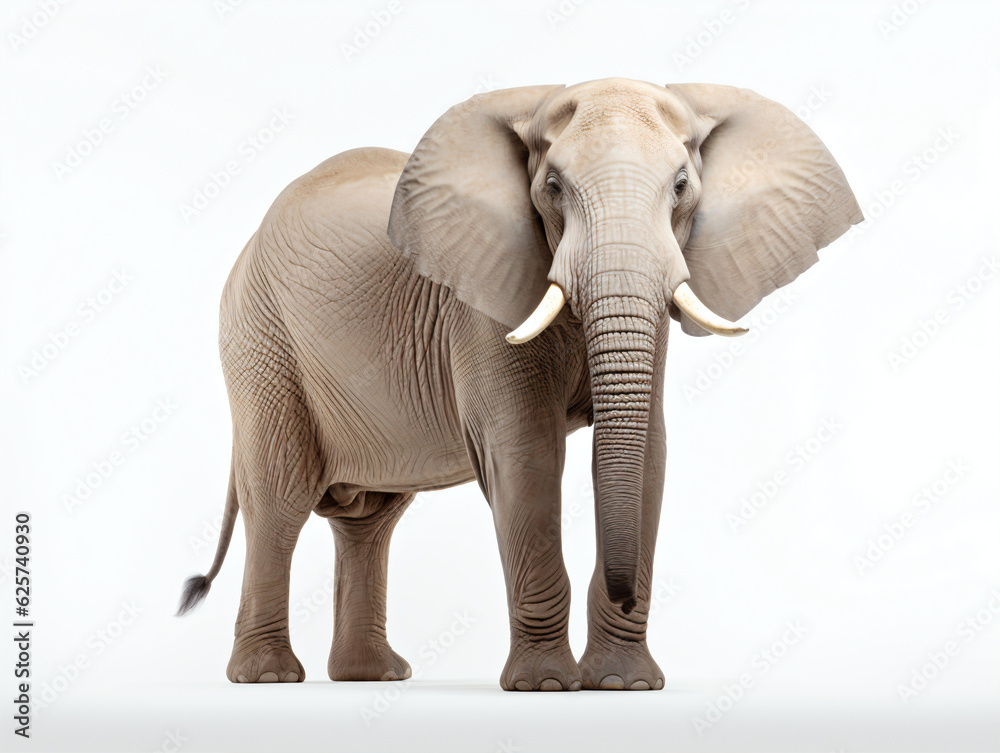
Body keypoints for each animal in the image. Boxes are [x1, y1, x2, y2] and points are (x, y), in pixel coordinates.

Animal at [177, 78, 861, 691]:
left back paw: (372, 676)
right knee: (280, 496)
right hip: (260, 340)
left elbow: (649, 456)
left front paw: (624, 685)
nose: (620, 594)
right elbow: (526, 456)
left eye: (681, 187)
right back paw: (269, 677)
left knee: (369, 519)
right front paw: (548, 685)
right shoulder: (480, 306)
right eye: (553, 188)